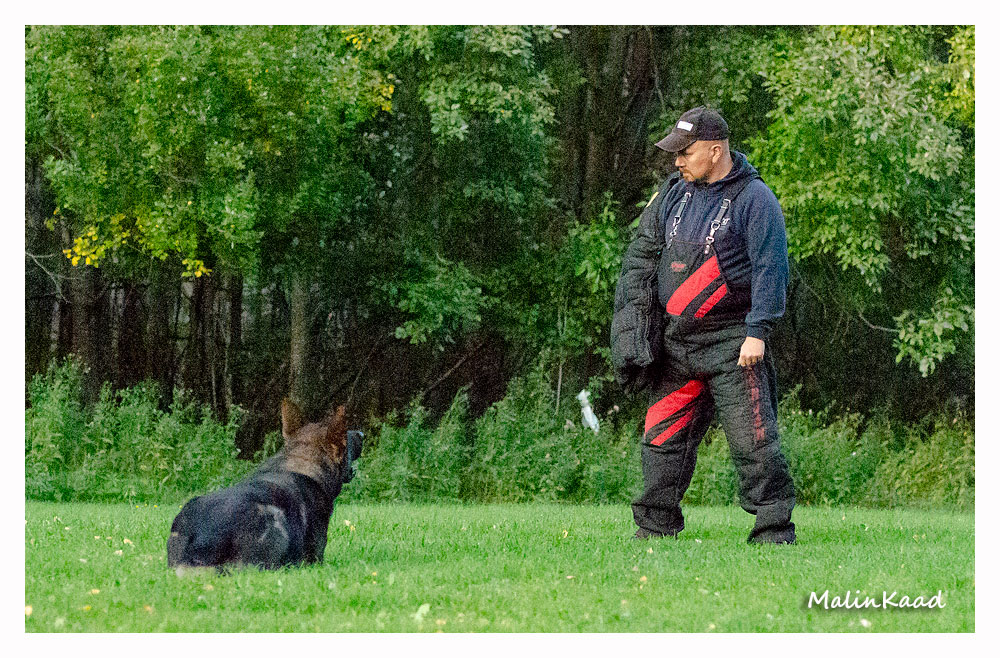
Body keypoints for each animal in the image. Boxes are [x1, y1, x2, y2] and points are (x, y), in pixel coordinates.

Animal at [168, 399, 362, 572]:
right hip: (274, 523)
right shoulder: (316, 555)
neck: (302, 461)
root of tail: (203, 538)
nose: (361, 433)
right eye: (347, 437)